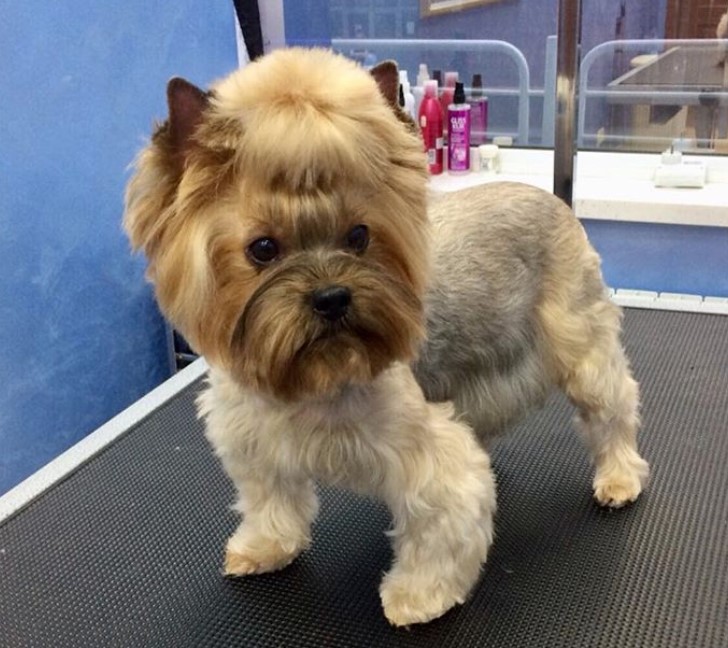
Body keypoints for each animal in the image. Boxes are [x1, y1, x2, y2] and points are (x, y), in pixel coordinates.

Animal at [123, 48, 648, 624]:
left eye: (359, 236)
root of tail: (552, 198)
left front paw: (418, 596)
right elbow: (271, 502)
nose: (332, 297)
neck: (312, 378)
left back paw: (619, 477)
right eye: (262, 248)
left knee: (612, 409)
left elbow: (440, 525)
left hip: (581, 340)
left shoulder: (425, 457)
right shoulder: (256, 442)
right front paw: (266, 546)